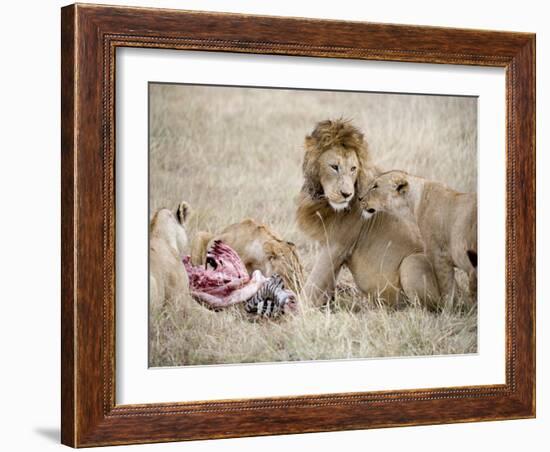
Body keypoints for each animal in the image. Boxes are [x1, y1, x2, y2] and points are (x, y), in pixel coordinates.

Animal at [298, 120, 440, 308]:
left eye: (353, 168)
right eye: (334, 167)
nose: (347, 194)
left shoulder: (336, 245)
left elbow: (312, 285)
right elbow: (326, 283)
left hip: (412, 262)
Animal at [362, 171, 478, 302]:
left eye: (375, 186)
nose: (360, 198)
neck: (414, 205)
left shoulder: (440, 258)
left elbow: (447, 292)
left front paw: (446, 307)